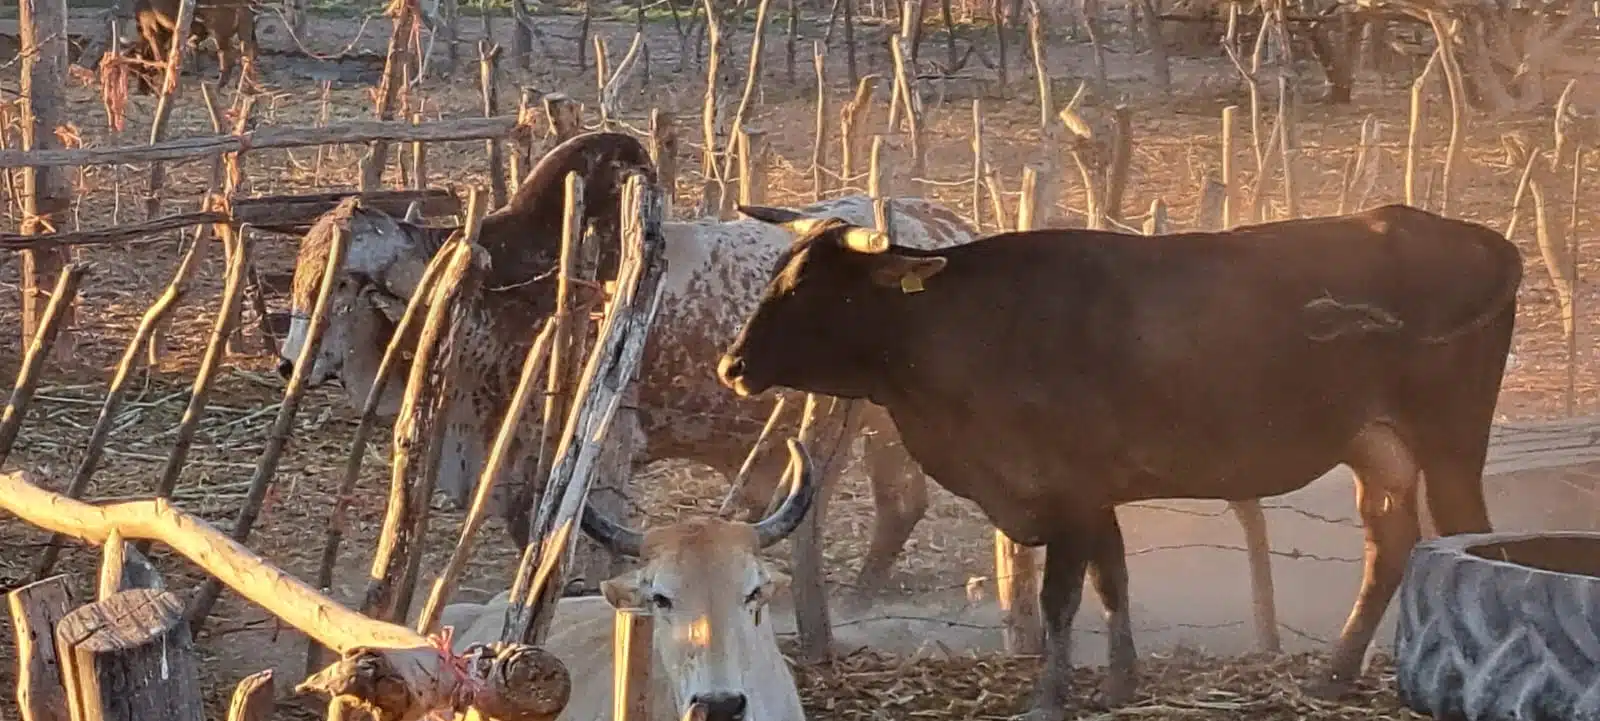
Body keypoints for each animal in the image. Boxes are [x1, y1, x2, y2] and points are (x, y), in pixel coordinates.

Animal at [720, 206, 1516, 719]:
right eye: (777, 272)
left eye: (808, 287)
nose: (733, 364)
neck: (965, 324)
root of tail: (1477, 236)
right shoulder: (1092, 494)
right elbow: (1113, 581)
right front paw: (1119, 683)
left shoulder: (1069, 490)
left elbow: (1061, 597)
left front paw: (1049, 697)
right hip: (1377, 448)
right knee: (1389, 546)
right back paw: (1334, 672)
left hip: (1450, 442)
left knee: (1470, 536)